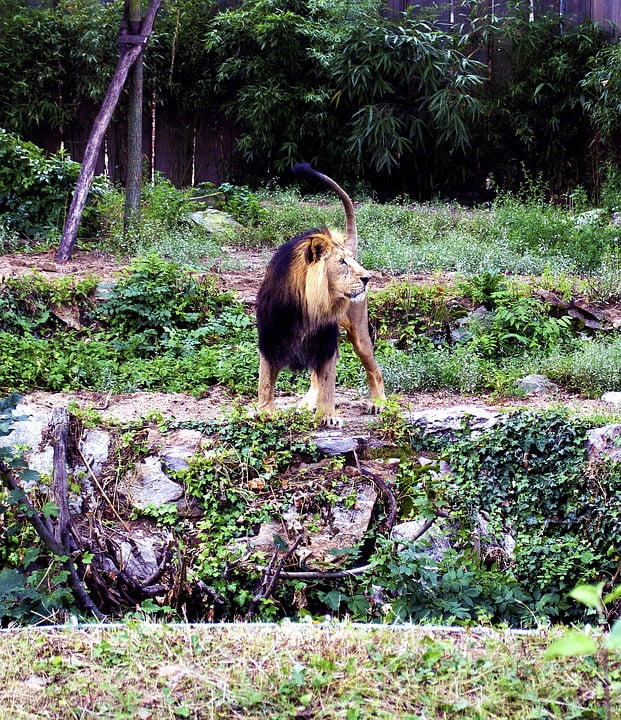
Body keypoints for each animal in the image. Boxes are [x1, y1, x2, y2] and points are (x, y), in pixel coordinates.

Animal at [256, 163, 385, 426]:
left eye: (352, 260)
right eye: (342, 262)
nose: (367, 277)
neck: (308, 305)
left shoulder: (325, 339)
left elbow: (328, 381)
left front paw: (328, 416)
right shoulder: (270, 336)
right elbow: (266, 380)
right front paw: (265, 412)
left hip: (358, 331)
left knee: (374, 369)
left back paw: (378, 403)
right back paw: (306, 405)